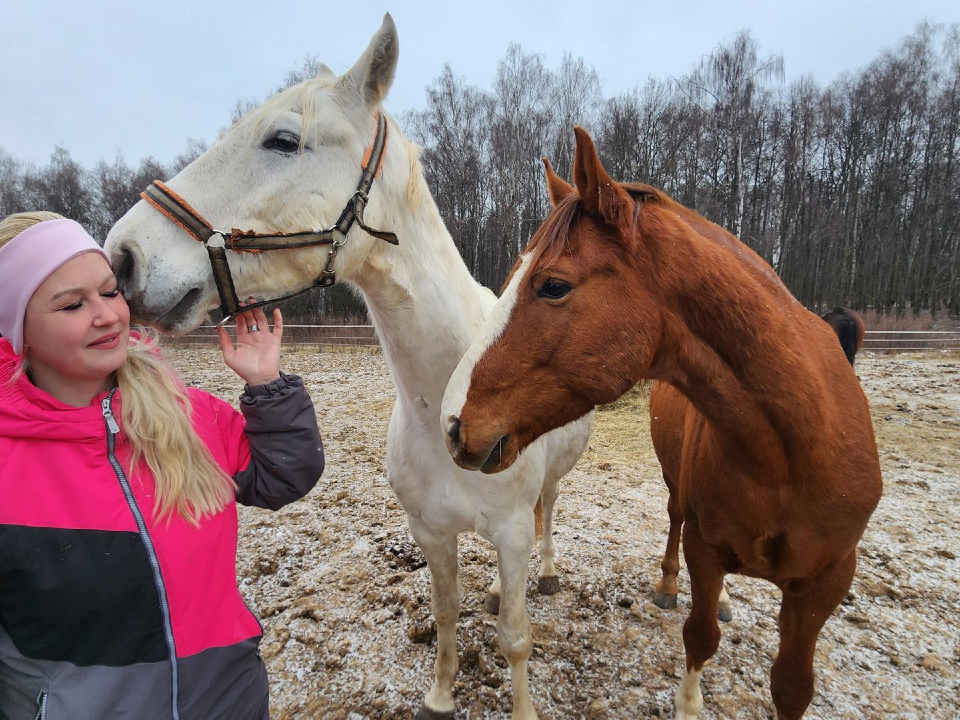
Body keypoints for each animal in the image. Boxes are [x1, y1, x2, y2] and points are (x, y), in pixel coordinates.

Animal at [109, 14, 596, 716]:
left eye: (284, 139)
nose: (123, 256)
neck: (445, 403)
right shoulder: (430, 532)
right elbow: (446, 613)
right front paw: (440, 694)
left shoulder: (509, 534)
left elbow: (515, 638)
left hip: (550, 488)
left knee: (548, 510)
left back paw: (549, 572)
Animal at [438, 126, 880, 716]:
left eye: (553, 286)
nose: (453, 423)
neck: (792, 448)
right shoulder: (705, 549)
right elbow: (699, 636)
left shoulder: (826, 581)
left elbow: (791, 684)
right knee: (673, 521)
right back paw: (669, 587)